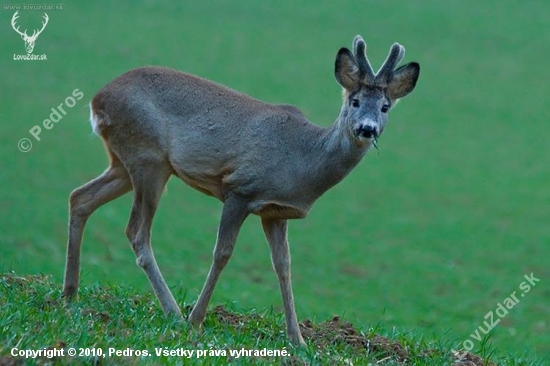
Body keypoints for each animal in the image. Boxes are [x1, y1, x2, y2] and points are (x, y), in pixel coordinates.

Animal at [62, 35, 420, 344]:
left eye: (385, 107)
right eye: (355, 101)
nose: (367, 129)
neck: (303, 159)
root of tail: (97, 100)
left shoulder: (275, 212)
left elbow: (284, 266)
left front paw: (298, 340)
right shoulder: (240, 189)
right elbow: (222, 253)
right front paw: (196, 320)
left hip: (124, 163)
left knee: (80, 197)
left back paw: (69, 293)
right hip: (148, 158)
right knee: (136, 231)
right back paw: (174, 313)